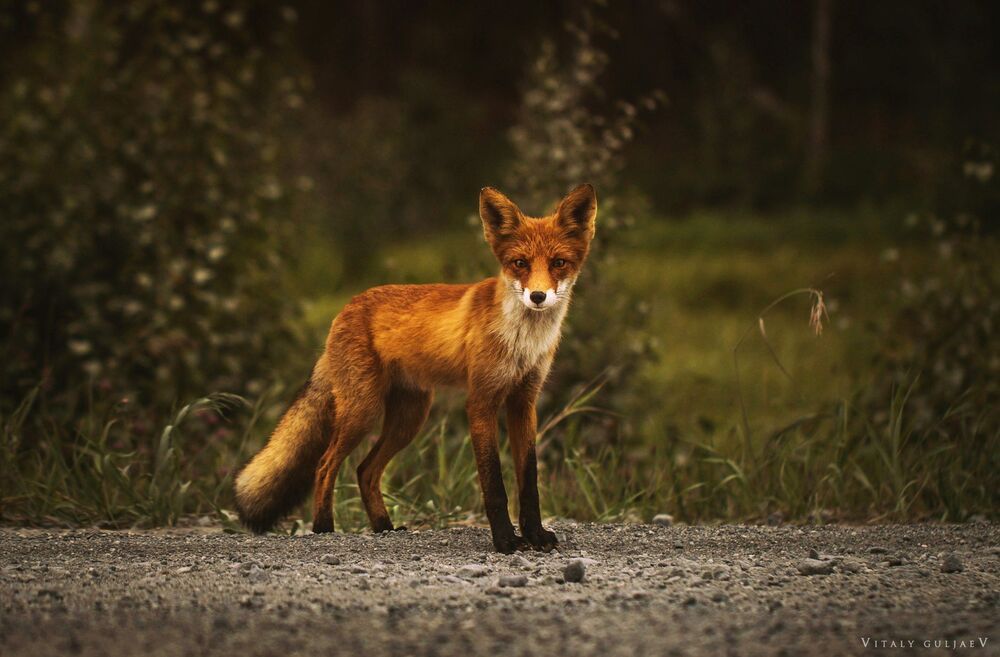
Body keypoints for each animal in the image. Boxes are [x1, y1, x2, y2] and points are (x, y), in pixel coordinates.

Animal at [234, 183, 598, 553]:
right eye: (519, 263)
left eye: (559, 263)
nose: (537, 296)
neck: (522, 341)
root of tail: (346, 307)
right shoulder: (481, 401)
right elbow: (493, 483)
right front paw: (506, 541)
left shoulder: (524, 402)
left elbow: (529, 480)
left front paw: (535, 534)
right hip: (363, 411)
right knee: (324, 466)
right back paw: (324, 529)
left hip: (409, 418)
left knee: (365, 470)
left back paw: (384, 527)